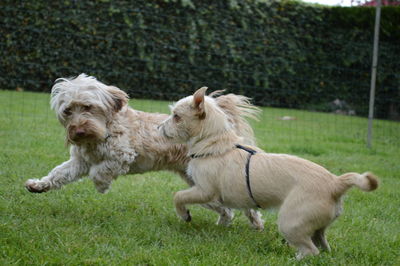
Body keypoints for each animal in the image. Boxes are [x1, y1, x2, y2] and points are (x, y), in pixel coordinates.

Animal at [23, 74, 264, 228]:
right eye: (68, 110)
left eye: (88, 107)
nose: (79, 131)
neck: (104, 129)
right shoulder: (80, 161)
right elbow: (59, 174)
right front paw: (39, 185)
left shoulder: (121, 156)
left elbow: (98, 172)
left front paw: (102, 186)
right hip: (200, 184)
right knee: (223, 207)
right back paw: (221, 221)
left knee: (243, 205)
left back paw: (256, 224)